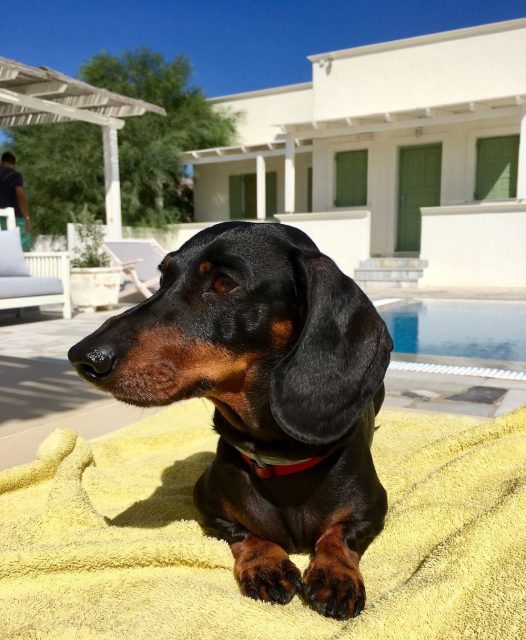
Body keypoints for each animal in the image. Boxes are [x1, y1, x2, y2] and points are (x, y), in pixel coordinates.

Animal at [68, 221, 394, 620]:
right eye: (163, 278)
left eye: (225, 282)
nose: (81, 357)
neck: (278, 461)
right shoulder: (207, 504)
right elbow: (243, 532)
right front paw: (265, 564)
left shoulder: (373, 509)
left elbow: (339, 534)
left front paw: (336, 574)